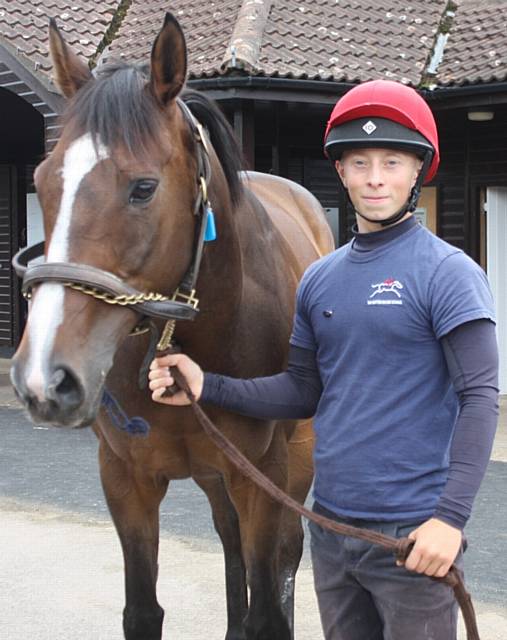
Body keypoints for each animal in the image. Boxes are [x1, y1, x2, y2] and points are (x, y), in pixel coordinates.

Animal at [9, 13, 336, 640]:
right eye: (42, 181)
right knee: (231, 545)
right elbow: (143, 609)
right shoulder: (125, 480)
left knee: (283, 556)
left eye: (143, 188)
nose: (44, 378)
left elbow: (268, 600)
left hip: (291, 461)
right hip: (214, 474)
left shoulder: (262, 475)